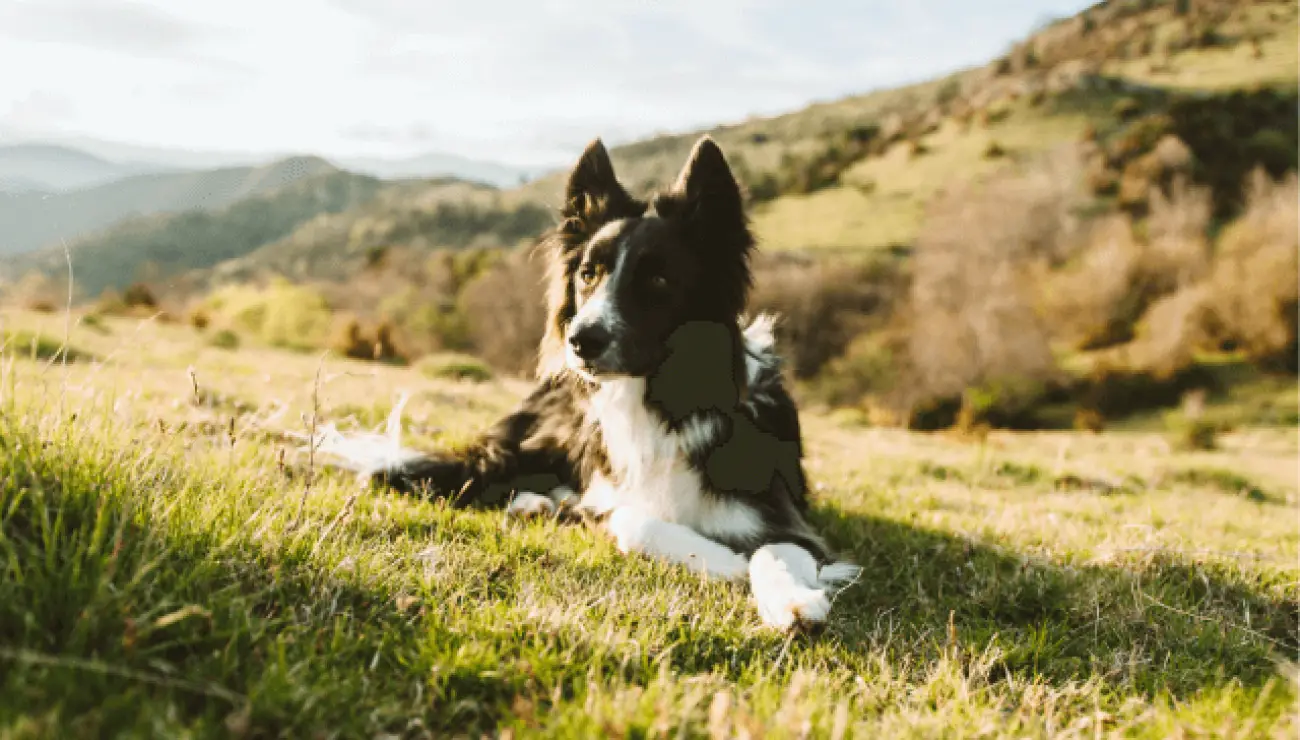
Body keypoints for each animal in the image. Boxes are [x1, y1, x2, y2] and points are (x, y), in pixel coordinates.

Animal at [319, 137, 857, 629]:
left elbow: (775, 548)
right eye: (587, 273)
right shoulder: (604, 500)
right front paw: (727, 562)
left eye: (658, 280)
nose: (580, 341)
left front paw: (790, 597)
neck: (661, 400)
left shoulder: (782, 518)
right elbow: (633, 520)